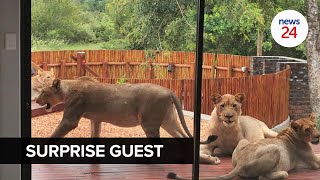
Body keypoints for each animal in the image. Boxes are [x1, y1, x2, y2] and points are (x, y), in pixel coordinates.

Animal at [35, 78, 191, 139]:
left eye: (43, 92)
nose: (36, 100)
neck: (67, 89)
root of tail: (169, 91)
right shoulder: (96, 120)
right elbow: (94, 135)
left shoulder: (69, 121)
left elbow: (54, 134)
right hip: (168, 121)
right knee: (182, 136)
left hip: (149, 124)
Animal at [168, 113, 320, 179]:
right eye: (307, 129)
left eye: (314, 125)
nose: (318, 136)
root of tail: (241, 163)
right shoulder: (313, 161)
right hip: (275, 149)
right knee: (263, 177)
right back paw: (282, 173)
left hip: (244, 142)